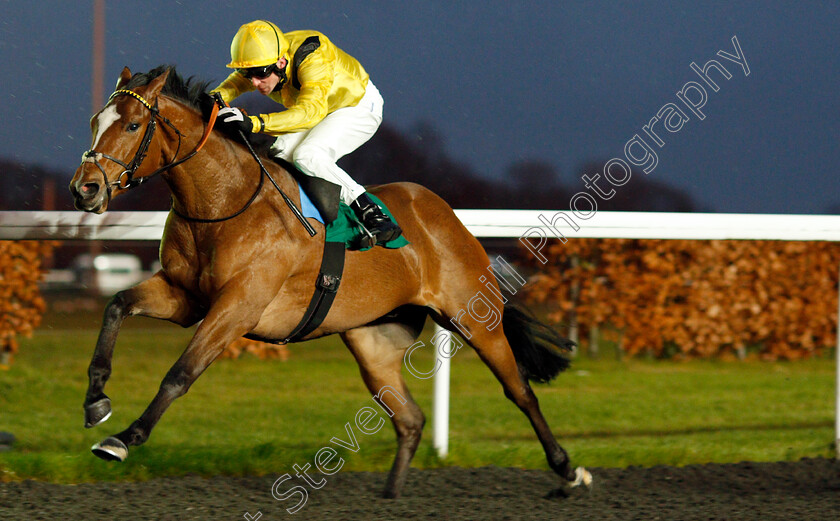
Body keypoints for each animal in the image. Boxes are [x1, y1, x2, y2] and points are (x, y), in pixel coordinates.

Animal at [69, 65, 592, 496]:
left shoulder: (237, 308)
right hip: (373, 342)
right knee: (410, 418)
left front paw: (124, 438)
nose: (84, 189)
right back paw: (390, 495)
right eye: (95, 120)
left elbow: (180, 374)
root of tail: (444, 214)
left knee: (520, 391)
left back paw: (569, 471)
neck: (224, 202)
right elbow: (117, 304)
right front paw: (96, 401)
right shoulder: (186, 297)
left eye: (132, 125)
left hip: (472, 318)